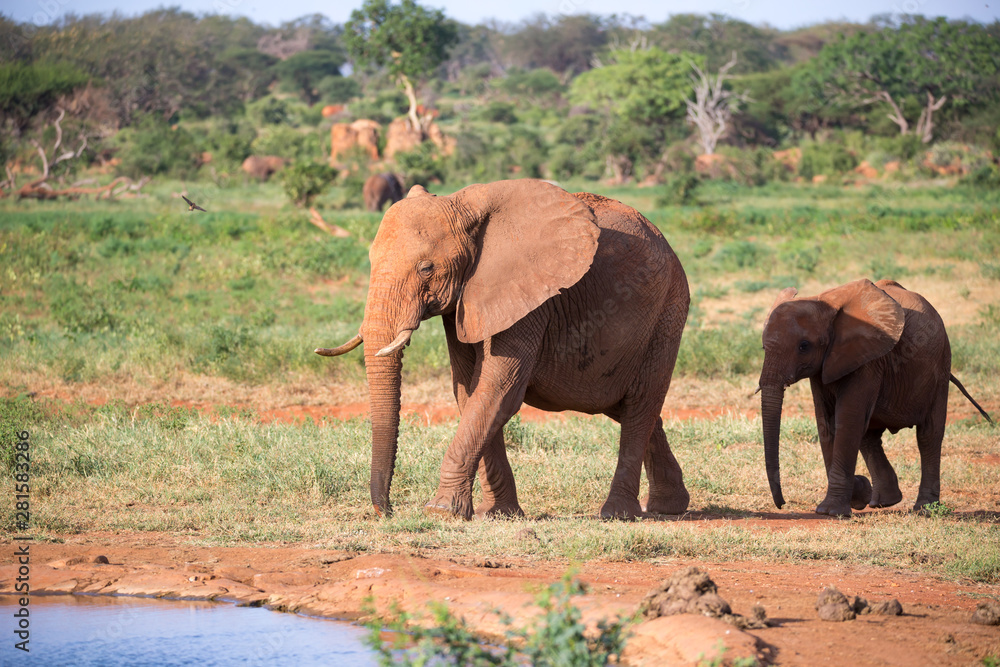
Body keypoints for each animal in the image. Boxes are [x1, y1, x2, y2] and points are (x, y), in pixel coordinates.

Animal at [316, 179, 692, 520]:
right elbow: (469, 390)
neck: (461, 205)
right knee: (627, 406)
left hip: (667, 314)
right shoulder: (465, 301)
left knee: (641, 405)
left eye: (426, 268)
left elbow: (499, 389)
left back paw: (618, 514)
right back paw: (668, 507)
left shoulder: (531, 293)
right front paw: (497, 514)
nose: (387, 511)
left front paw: (440, 511)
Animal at [756, 280, 992, 520]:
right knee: (868, 435)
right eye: (763, 347)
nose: (782, 504)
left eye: (804, 346)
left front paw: (832, 511)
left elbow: (847, 419)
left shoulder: (867, 360)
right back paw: (884, 501)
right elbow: (826, 423)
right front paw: (856, 494)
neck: (824, 303)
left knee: (928, 436)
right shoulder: (827, 366)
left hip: (940, 367)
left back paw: (925, 509)